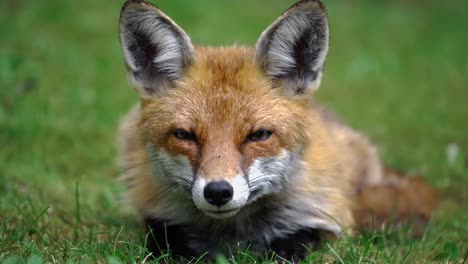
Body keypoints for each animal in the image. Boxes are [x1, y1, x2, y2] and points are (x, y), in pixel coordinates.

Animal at [117, 0, 438, 260]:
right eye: (184, 135)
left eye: (259, 135)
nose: (218, 192)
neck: (233, 235)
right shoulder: (155, 216)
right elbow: (163, 244)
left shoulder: (330, 222)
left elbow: (297, 244)